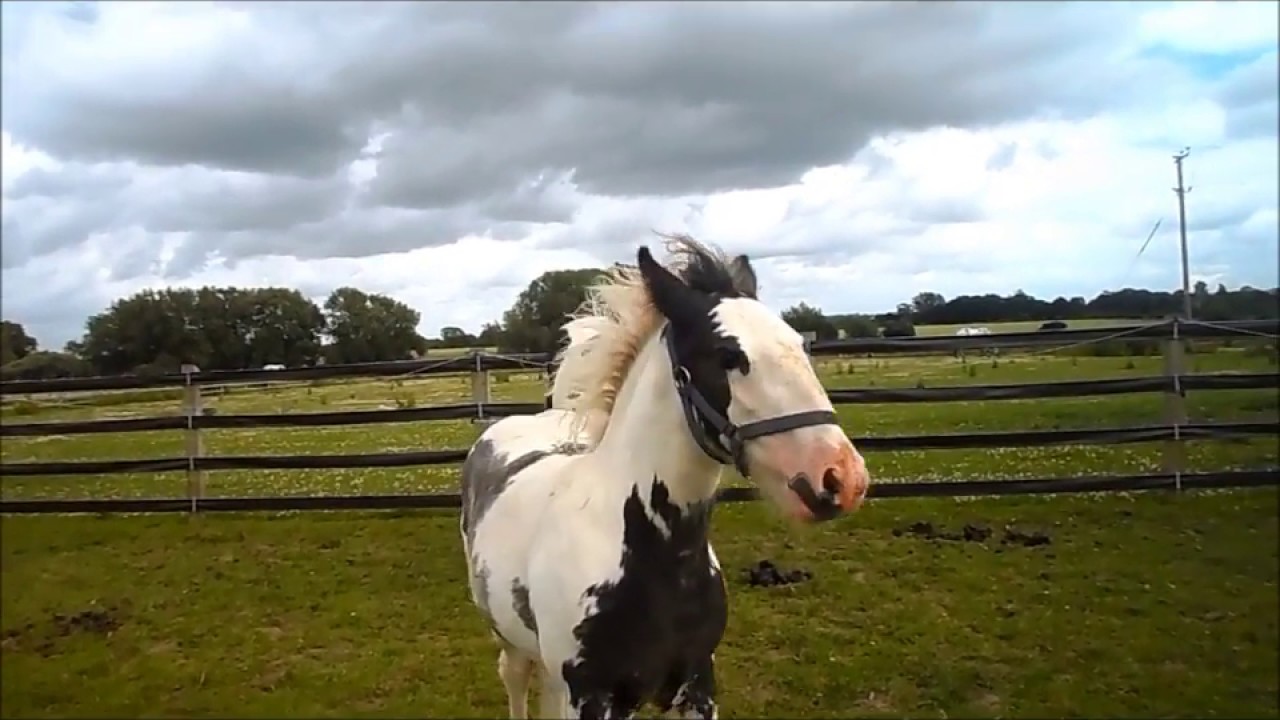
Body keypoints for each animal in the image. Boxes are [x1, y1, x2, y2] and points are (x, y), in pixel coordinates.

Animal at [459, 235, 871, 720]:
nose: (842, 478)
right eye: (728, 354)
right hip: (510, 638)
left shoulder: (697, 684)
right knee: (515, 678)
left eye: (799, 346)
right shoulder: (591, 695)